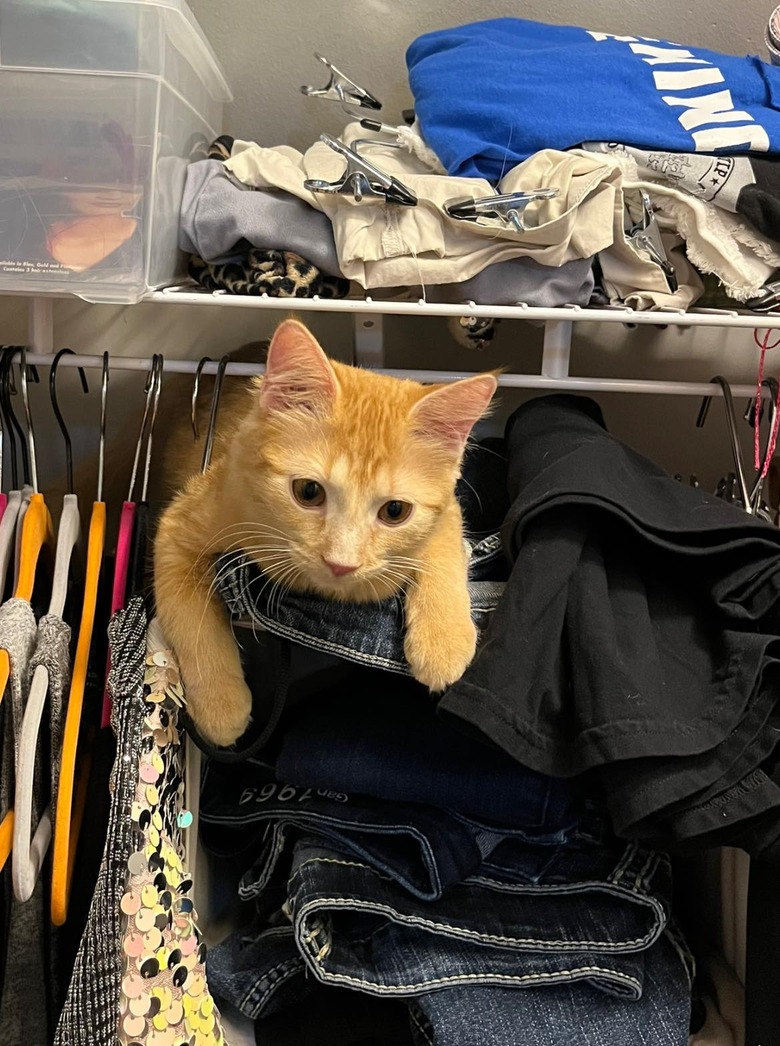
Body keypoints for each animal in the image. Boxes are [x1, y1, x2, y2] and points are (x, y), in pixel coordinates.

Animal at [153, 317, 495, 744]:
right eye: (308, 491)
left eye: (395, 511)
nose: (341, 564)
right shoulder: (182, 524)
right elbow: (191, 619)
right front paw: (221, 706)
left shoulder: (447, 506)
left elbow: (445, 544)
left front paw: (444, 640)